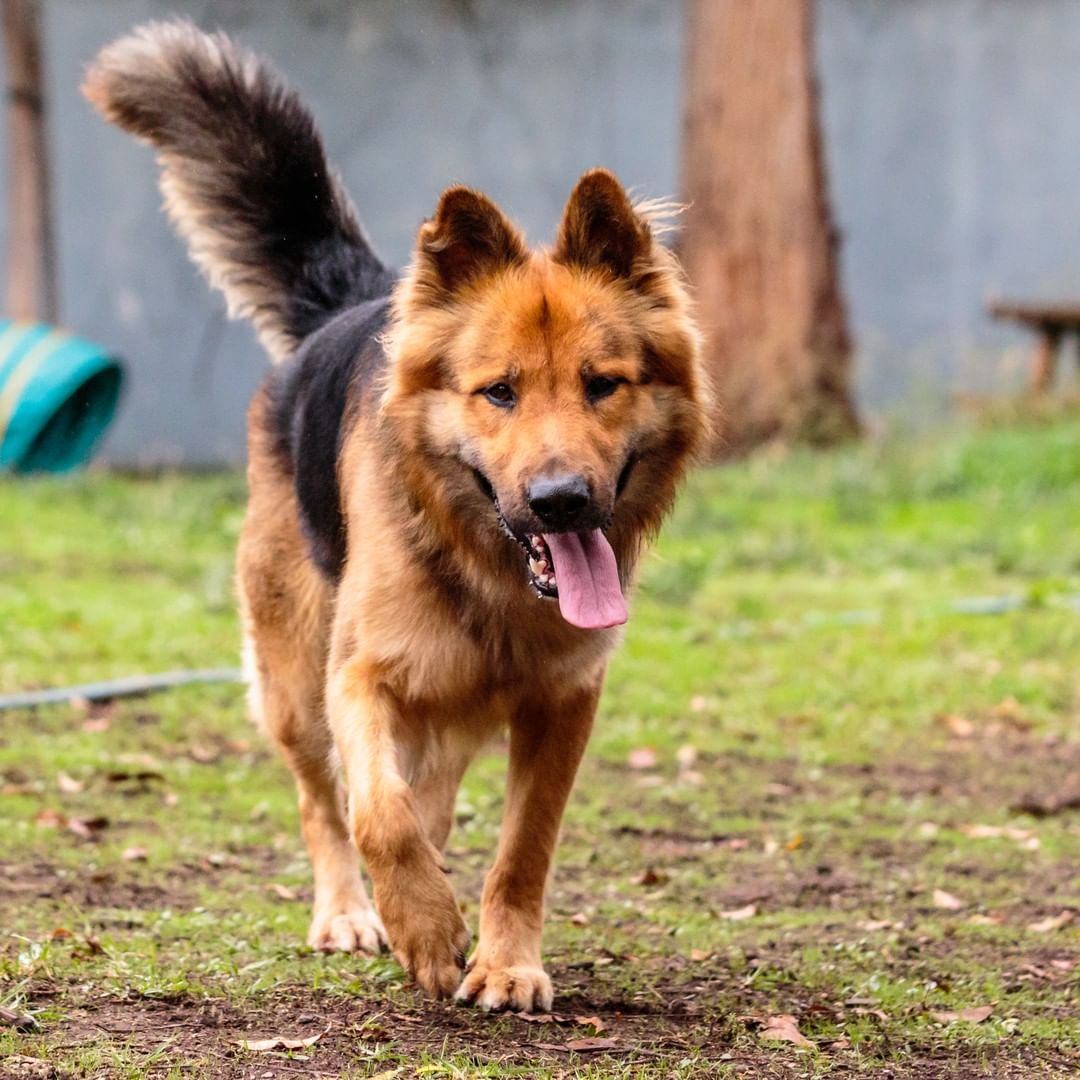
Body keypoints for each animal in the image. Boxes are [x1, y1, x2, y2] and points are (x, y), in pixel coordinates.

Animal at [84, 19, 708, 1010]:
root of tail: (353, 302)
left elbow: (521, 850)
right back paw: (350, 912)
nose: (562, 500)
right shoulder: (360, 677)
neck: (488, 575)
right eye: (499, 392)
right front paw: (420, 924)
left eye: (602, 385)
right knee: (325, 800)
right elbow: (376, 811)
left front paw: (506, 961)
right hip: (295, 681)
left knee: (433, 798)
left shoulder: (564, 705)